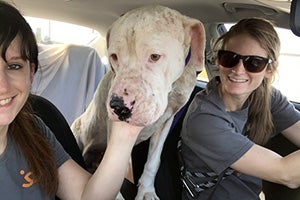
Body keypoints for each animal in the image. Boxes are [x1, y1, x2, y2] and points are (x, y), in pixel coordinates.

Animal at [71, 5, 205, 200]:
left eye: (155, 56)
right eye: (114, 56)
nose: (118, 105)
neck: (171, 89)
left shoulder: (167, 120)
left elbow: (153, 161)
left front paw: (146, 191)